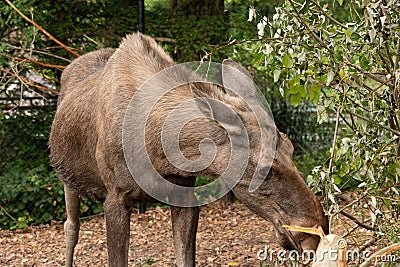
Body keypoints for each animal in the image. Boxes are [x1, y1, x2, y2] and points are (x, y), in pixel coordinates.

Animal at [49, 34, 328, 267]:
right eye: (264, 170)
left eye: (291, 148)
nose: (317, 230)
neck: (160, 152)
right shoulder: (115, 197)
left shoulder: (184, 192)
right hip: (68, 181)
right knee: (70, 228)